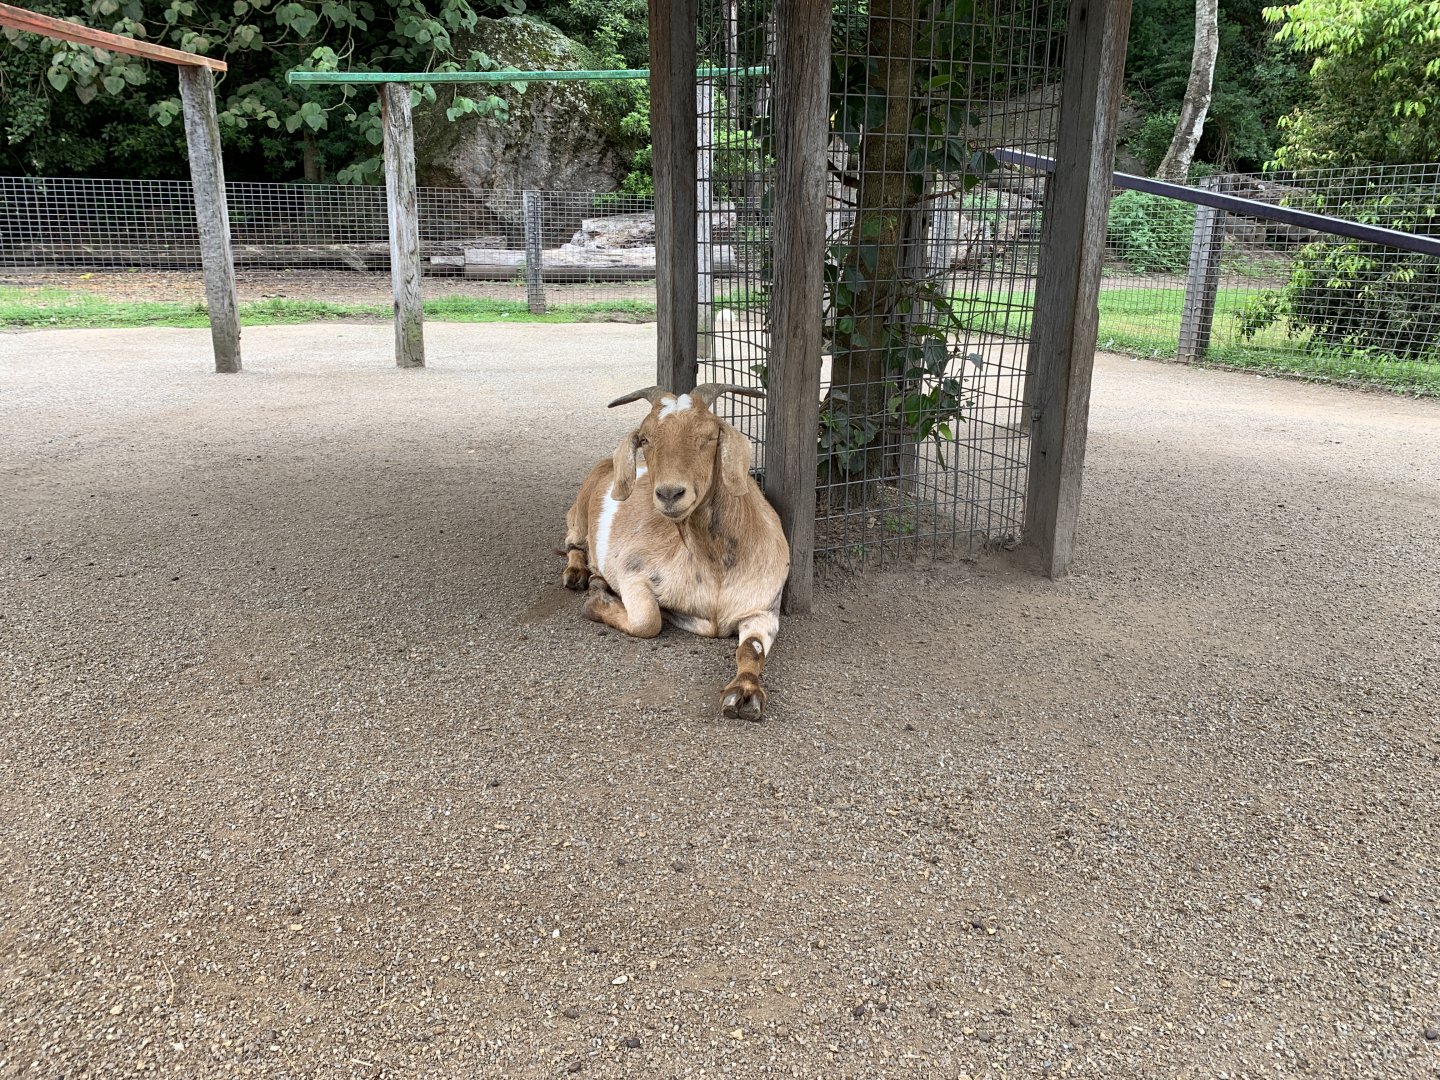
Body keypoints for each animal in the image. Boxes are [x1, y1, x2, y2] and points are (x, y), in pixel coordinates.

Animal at [562, 384, 790, 720]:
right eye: (644, 438)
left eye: (710, 435)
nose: (670, 494)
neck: (714, 567)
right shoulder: (632, 572)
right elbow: (648, 621)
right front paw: (597, 600)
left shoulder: (763, 609)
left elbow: (752, 649)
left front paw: (744, 693)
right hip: (579, 511)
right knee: (573, 542)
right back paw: (579, 574)